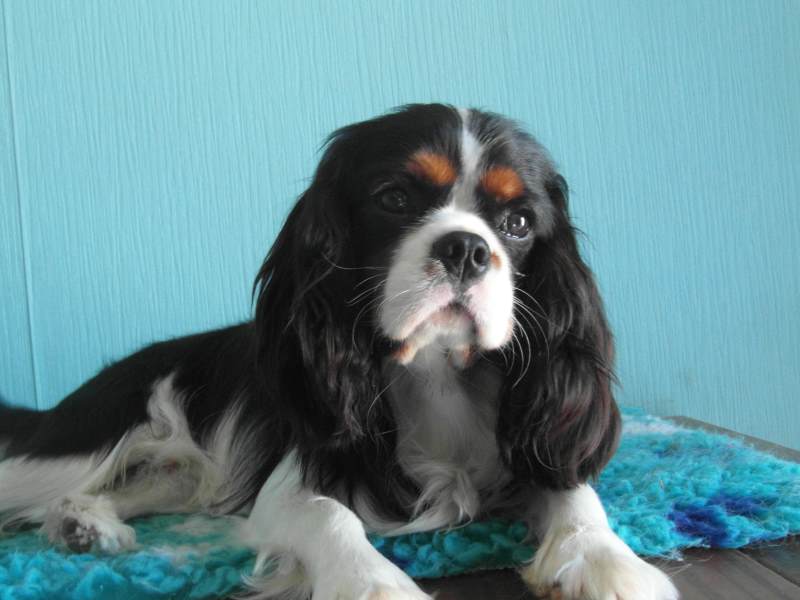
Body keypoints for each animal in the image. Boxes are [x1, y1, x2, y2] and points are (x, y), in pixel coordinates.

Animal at [0, 104, 677, 599]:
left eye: (518, 223)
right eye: (395, 199)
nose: (465, 248)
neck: (435, 374)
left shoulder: (535, 440)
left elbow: (575, 493)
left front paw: (608, 563)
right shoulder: (295, 480)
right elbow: (332, 517)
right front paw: (377, 585)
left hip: (176, 477)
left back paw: (83, 526)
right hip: (81, 446)